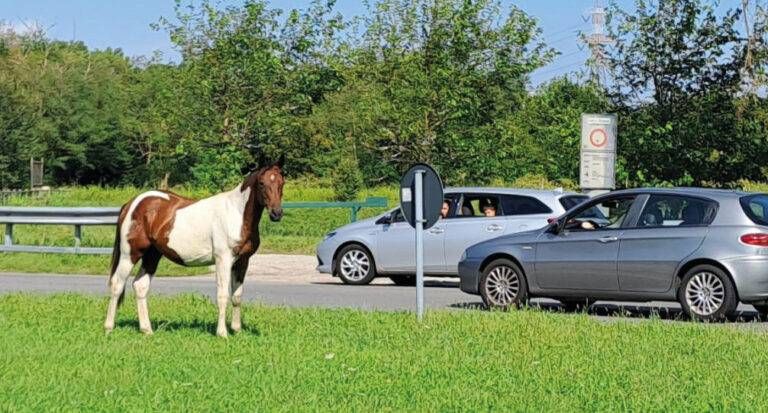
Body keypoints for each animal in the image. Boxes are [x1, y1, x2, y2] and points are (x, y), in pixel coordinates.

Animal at [103, 159, 285, 337]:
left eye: (281, 182)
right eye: (261, 183)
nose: (276, 213)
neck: (236, 214)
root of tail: (131, 204)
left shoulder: (242, 261)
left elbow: (237, 296)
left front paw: (237, 330)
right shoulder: (223, 260)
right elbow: (222, 295)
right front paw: (222, 333)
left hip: (152, 255)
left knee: (140, 286)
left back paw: (147, 330)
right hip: (130, 254)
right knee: (117, 284)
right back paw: (109, 328)